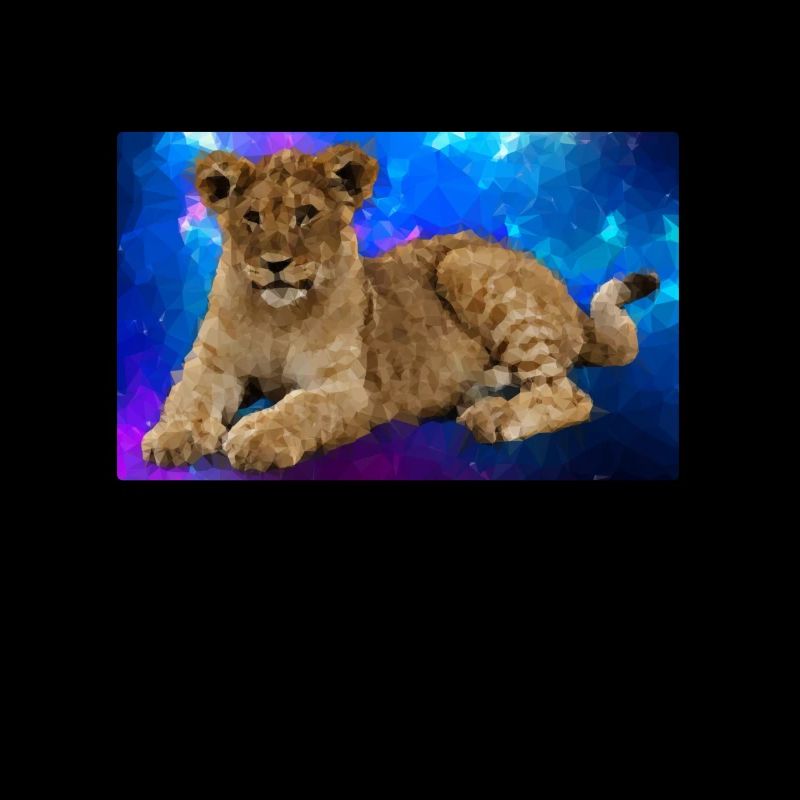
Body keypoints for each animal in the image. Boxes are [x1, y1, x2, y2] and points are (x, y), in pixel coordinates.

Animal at [141, 144, 659, 471]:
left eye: (305, 215)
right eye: (251, 218)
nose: (275, 264)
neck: (277, 316)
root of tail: (575, 308)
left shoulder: (346, 388)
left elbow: (300, 407)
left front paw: (253, 436)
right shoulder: (213, 363)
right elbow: (188, 396)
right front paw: (171, 436)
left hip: (462, 262)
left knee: (567, 394)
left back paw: (494, 416)